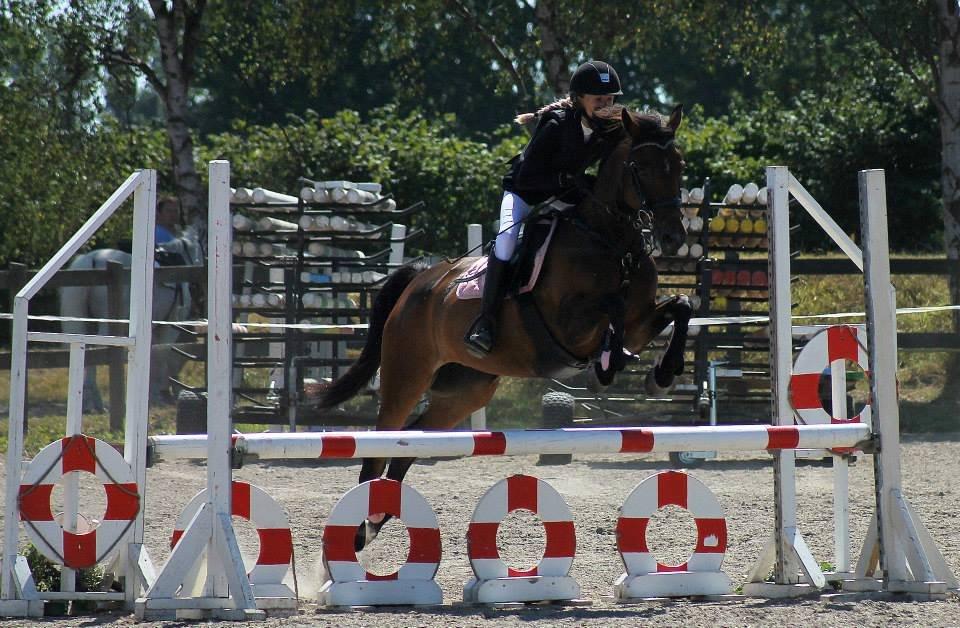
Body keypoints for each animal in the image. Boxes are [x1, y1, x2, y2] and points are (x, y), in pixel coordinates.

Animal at [59, 227, 203, 412]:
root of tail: (91, 260)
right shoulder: (169, 328)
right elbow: (161, 355)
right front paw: (157, 394)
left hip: (86, 323)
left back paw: (90, 402)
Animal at [320, 104, 688, 548]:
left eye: (679, 165)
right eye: (640, 166)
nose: (673, 238)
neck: (610, 240)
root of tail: (420, 281)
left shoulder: (639, 320)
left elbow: (679, 307)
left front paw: (661, 375)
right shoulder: (569, 323)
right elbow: (611, 307)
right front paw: (607, 366)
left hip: (465, 391)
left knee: (410, 442)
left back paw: (377, 517)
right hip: (406, 375)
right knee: (381, 442)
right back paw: (360, 529)